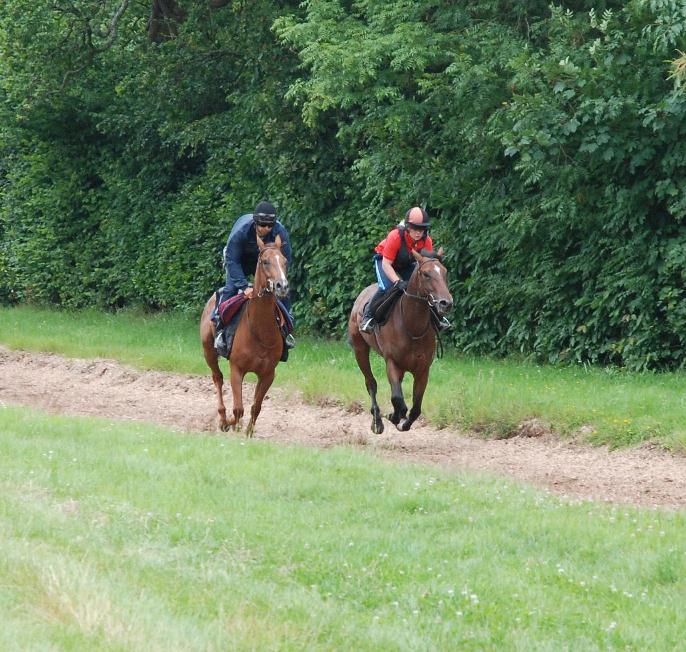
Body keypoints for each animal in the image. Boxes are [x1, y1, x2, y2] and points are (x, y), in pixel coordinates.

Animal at [199, 234, 290, 438]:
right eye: (265, 261)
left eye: (284, 261)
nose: (282, 285)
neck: (260, 330)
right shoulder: (236, 368)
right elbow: (238, 408)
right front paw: (231, 424)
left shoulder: (268, 373)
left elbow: (256, 407)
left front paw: (247, 432)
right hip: (208, 351)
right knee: (217, 378)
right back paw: (223, 418)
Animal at [346, 250, 454, 432]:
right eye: (426, 274)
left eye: (445, 272)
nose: (446, 303)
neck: (412, 326)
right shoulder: (392, 362)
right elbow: (397, 399)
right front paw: (393, 416)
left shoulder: (423, 370)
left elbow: (416, 407)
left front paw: (402, 422)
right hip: (360, 349)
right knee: (371, 383)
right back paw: (377, 421)